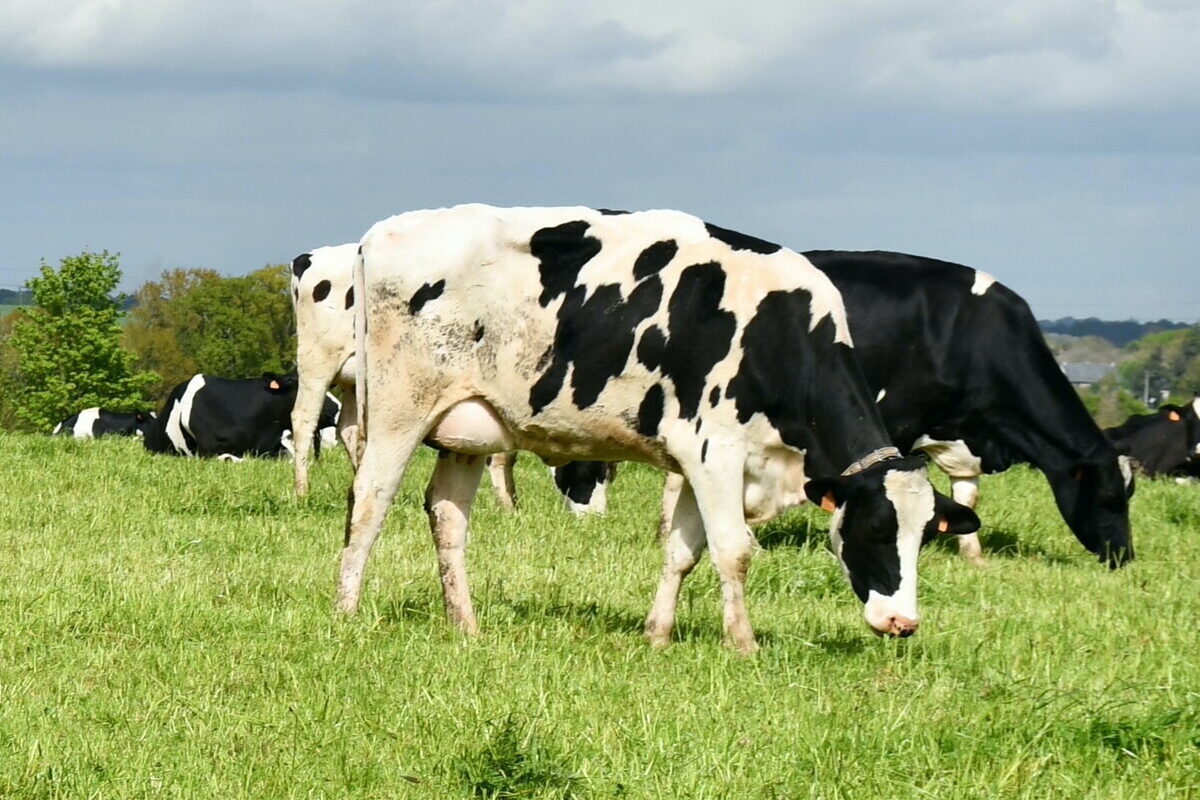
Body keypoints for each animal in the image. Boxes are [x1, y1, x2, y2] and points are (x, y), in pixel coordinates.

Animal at [336, 201, 974, 652]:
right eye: (876, 530)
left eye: (924, 535)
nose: (902, 621)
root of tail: (380, 233)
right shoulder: (716, 451)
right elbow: (734, 550)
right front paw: (744, 645)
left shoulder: (695, 462)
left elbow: (682, 550)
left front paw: (658, 634)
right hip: (397, 411)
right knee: (369, 503)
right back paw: (346, 612)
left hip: (467, 427)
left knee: (447, 516)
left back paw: (465, 625)